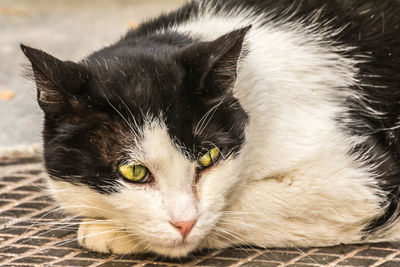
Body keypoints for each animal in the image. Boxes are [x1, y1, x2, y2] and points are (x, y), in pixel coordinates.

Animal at [21, 0, 400, 260]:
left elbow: (238, 205)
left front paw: (109, 231)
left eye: (208, 157)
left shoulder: (359, 180)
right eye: (134, 172)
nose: (184, 223)